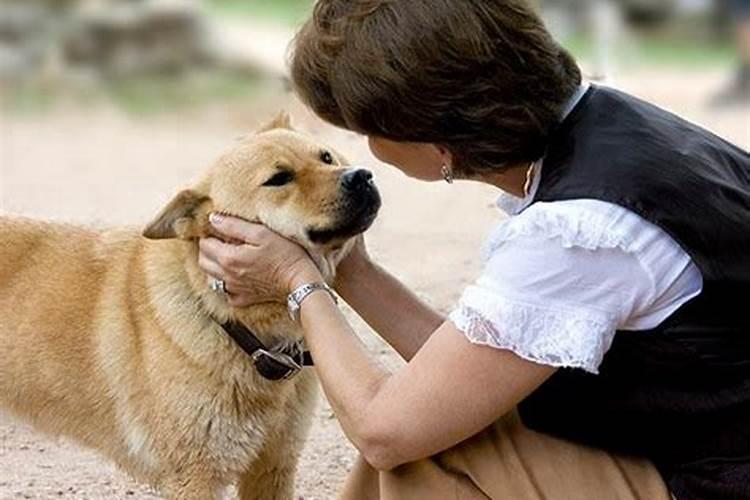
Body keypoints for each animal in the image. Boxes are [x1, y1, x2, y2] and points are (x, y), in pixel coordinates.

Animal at [0, 113, 382, 500]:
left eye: (326, 157)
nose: (361, 176)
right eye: (278, 179)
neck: (231, 322)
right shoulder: (195, 478)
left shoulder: (273, 465)